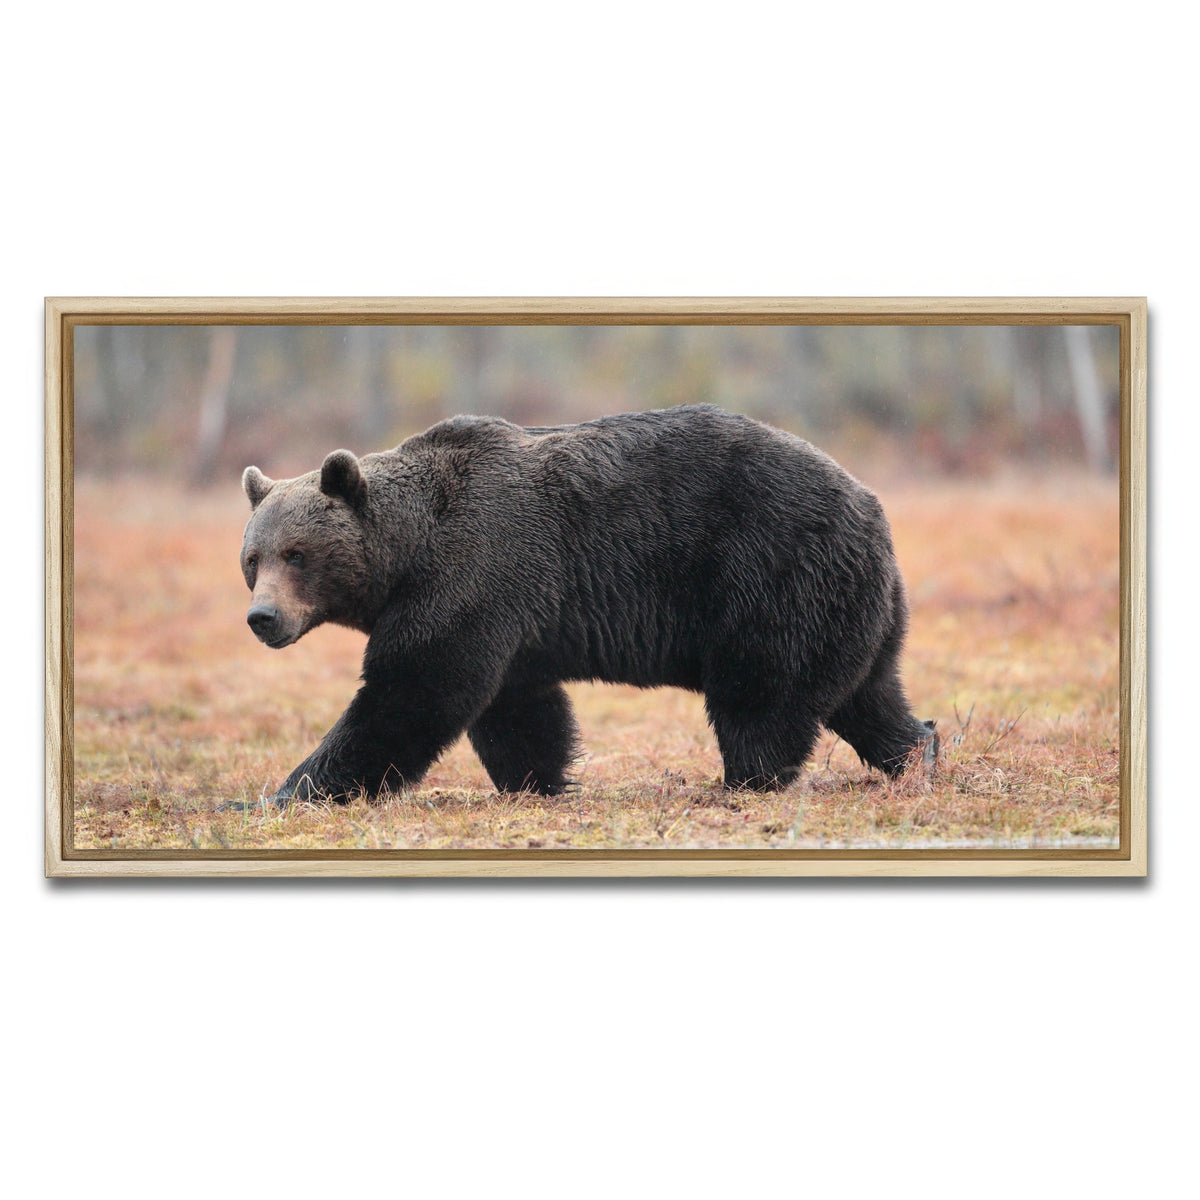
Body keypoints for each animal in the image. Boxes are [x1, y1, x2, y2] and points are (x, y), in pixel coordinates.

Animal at [239, 404, 936, 805]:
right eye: (252, 559)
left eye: (296, 553)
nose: (262, 618)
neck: (408, 552)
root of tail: (871, 504)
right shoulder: (510, 615)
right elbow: (518, 709)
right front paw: (537, 782)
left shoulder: (473, 572)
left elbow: (411, 692)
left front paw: (286, 792)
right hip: (855, 605)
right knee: (867, 695)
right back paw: (918, 751)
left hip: (771, 573)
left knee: (761, 695)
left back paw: (743, 781)